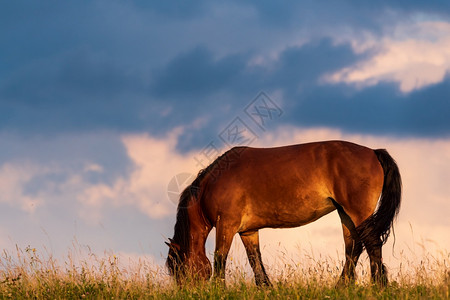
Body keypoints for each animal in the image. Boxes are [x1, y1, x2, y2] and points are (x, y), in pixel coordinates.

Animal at [165, 141, 400, 286]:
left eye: (179, 269)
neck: (213, 183)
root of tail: (373, 151)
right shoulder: (248, 232)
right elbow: (255, 261)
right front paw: (266, 288)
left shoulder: (226, 226)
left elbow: (219, 259)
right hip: (346, 214)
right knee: (353, 248)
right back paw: (342, 287)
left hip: (358, 213)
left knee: (372, 245)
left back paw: (378, 286)